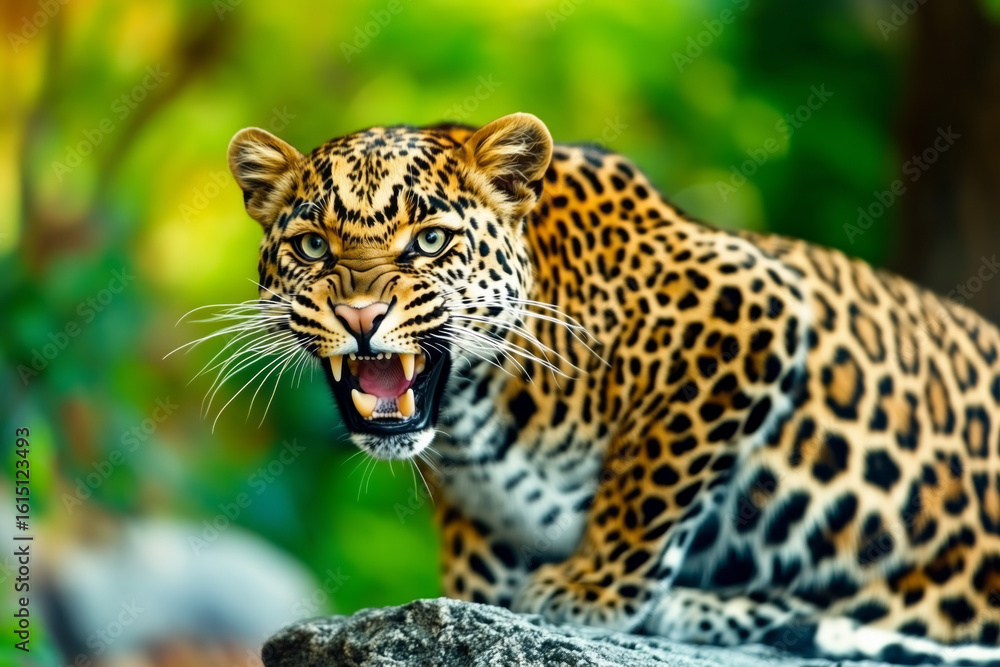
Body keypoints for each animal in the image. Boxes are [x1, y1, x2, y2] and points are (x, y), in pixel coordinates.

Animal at [222, 112, 1000, 664]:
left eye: (431, 241)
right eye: (312, 246)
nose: (361, 316)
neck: (475, 413)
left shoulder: (748, 305)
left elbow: (652, 475)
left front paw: (589, 589)